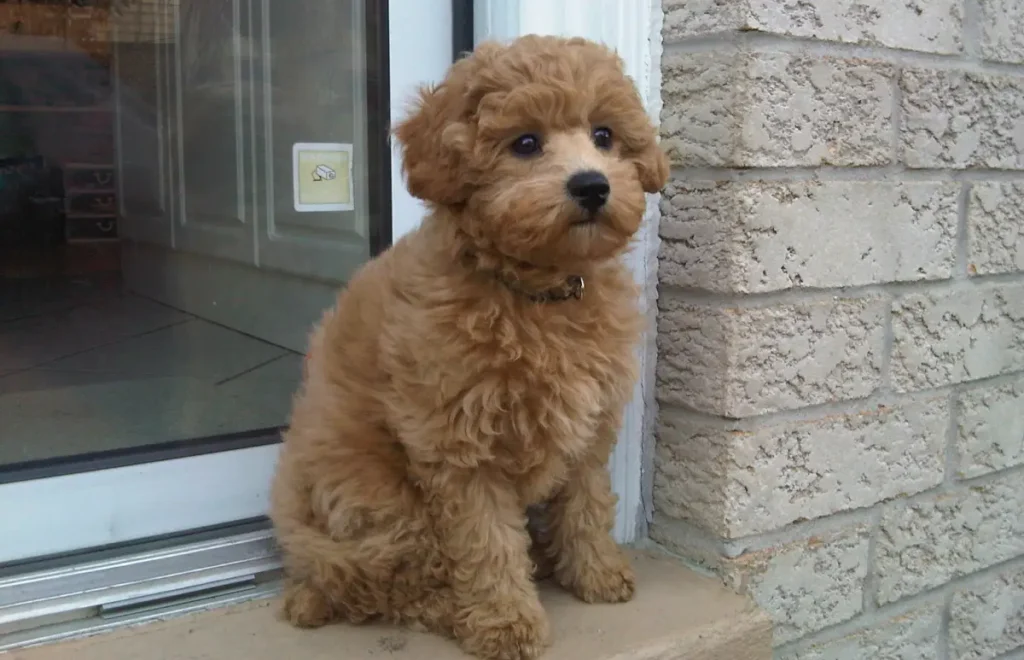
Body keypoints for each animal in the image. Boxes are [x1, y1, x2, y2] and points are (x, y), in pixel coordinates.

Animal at [272, 36, 667, 658]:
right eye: (525, 143)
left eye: (604, 135)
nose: (592, 185)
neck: (535, 295)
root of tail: (304, 560)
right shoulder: (458, 445)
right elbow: (486, 542)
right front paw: (506, 621)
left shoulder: (588, 426)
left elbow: (587, 502)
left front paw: (597, 573)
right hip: (381, 504)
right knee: (391, 586)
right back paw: (450, 611)